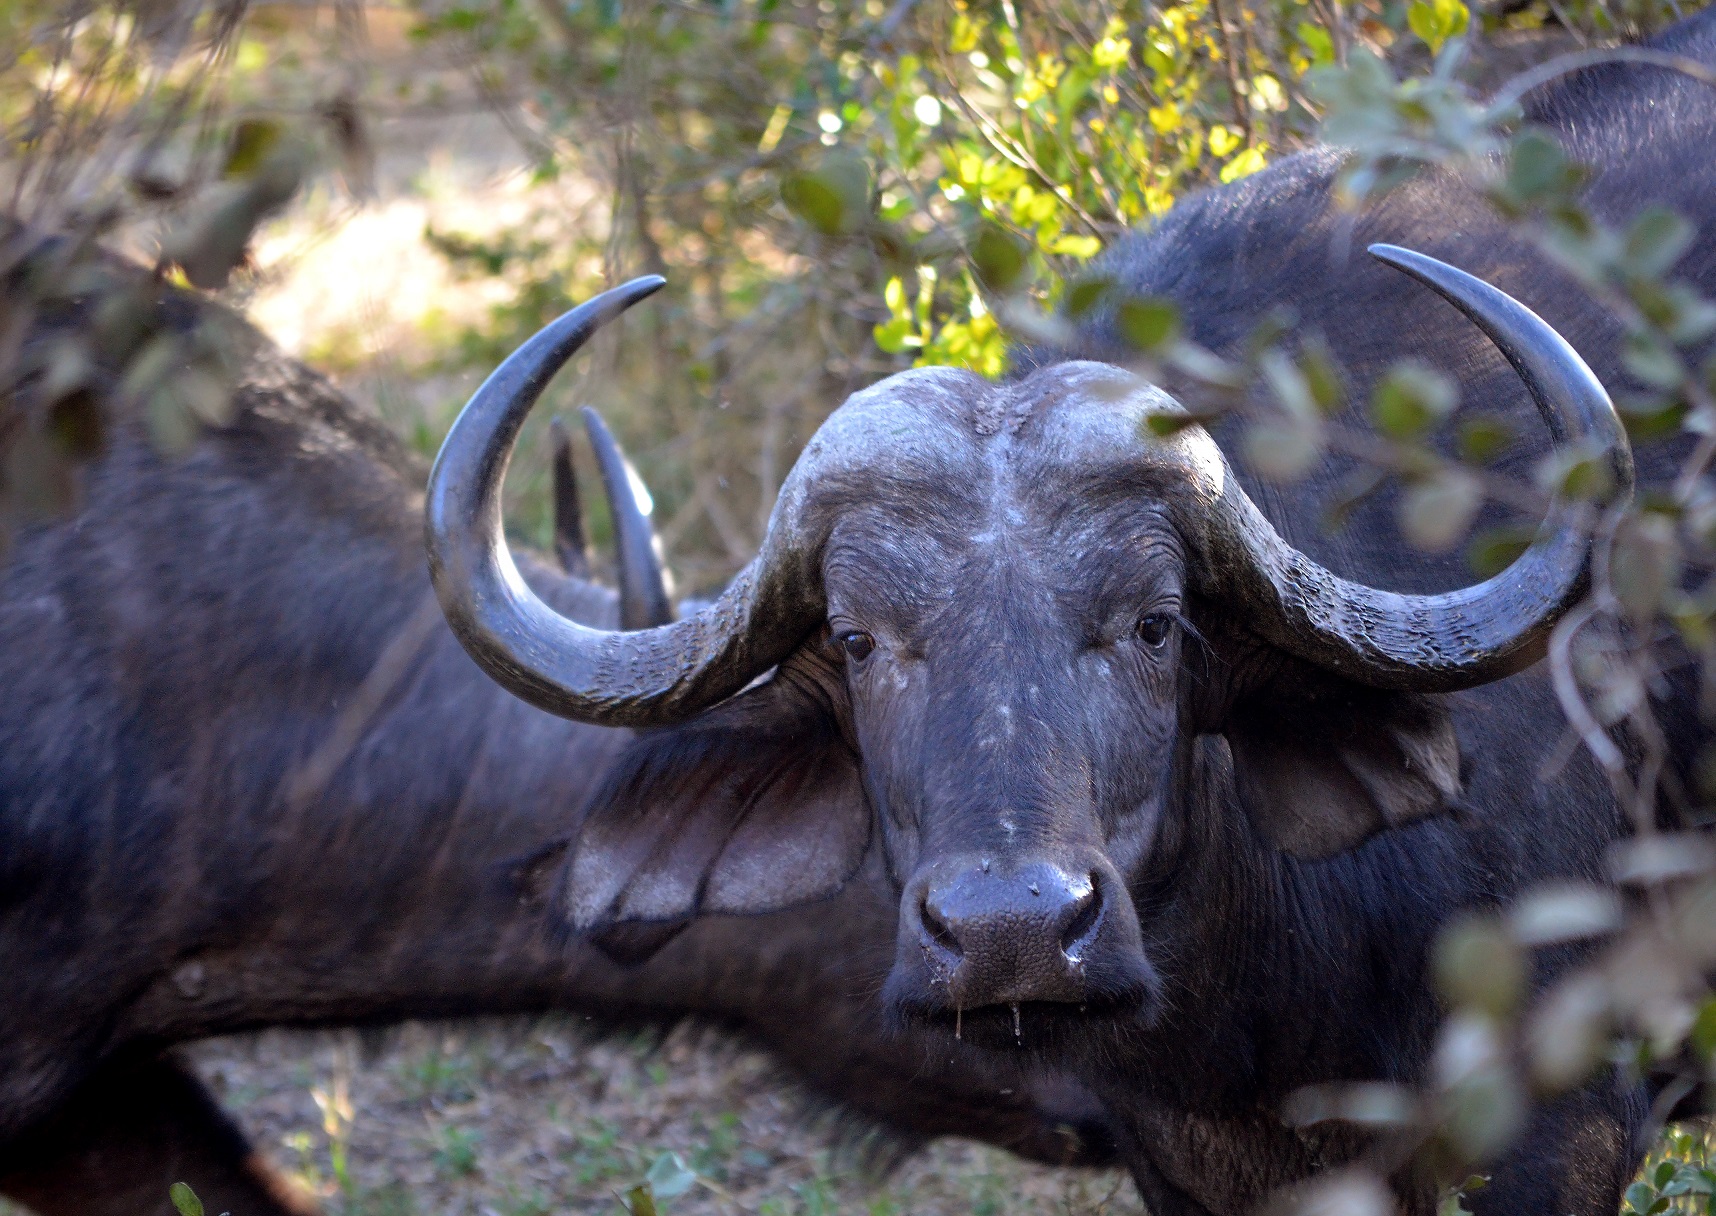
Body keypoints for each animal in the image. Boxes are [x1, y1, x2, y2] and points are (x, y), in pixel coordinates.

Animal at [425, 11, 1716, 1214]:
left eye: (1153, 625)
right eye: (857, 639)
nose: (1013, 930)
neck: (1263, 1007)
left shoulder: (1566, 1126)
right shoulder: (1189, 1158)